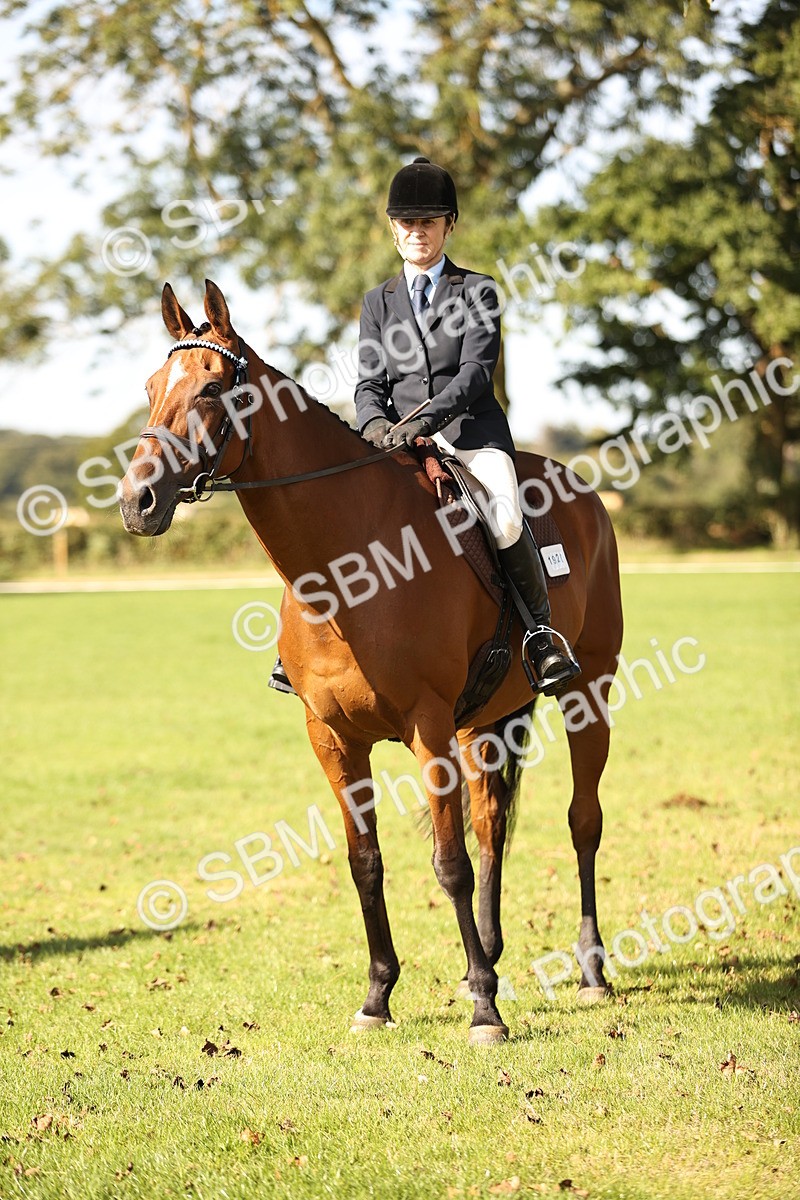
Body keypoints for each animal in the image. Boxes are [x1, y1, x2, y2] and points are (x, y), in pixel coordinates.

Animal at [119, 279, 624, 1044]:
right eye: (151, 387)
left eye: (210, 388)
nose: (136, 502)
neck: (346, 571)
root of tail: (583, 490)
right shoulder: (332, 736)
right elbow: (366, 863)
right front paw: (379, 997)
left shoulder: (427, 728)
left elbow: (448, 865)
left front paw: (484, 1012)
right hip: (486, 720)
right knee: (491, 826)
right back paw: (490, 956)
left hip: (586, 692)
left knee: (581, 820)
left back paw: (588, 971)